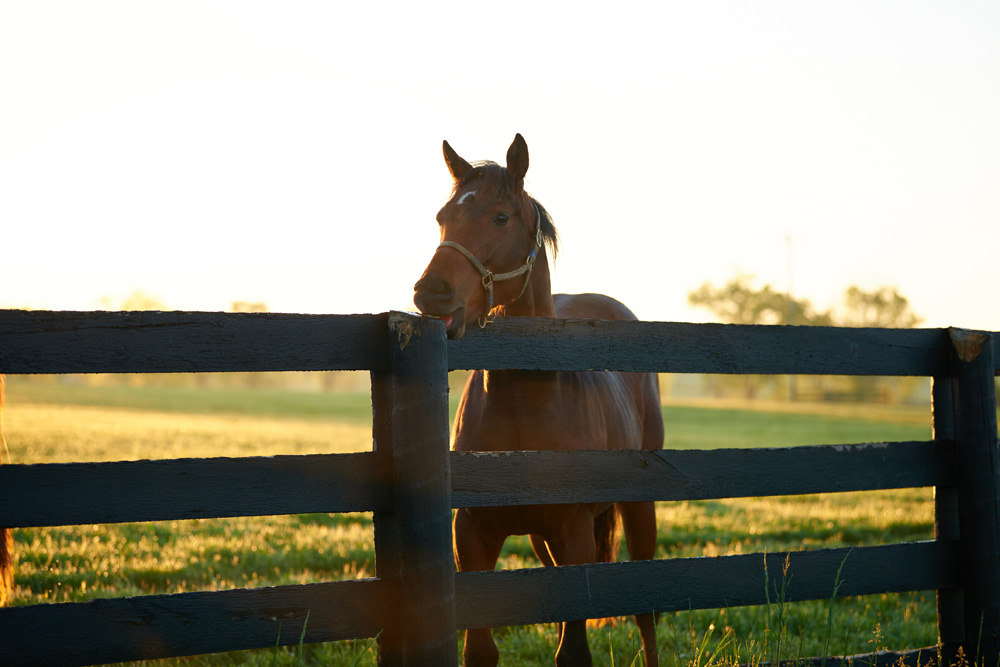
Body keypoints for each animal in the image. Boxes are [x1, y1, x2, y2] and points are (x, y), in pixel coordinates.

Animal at [413, 135, 664, 667]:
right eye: (443, 216)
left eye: (501, 217)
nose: (431, 292)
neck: (524, 399)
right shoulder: (473, 534)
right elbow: (480, 650)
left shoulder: (574, 533)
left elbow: (573, 651)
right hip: (542, 539)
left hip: (639, 508)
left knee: (645, 611)